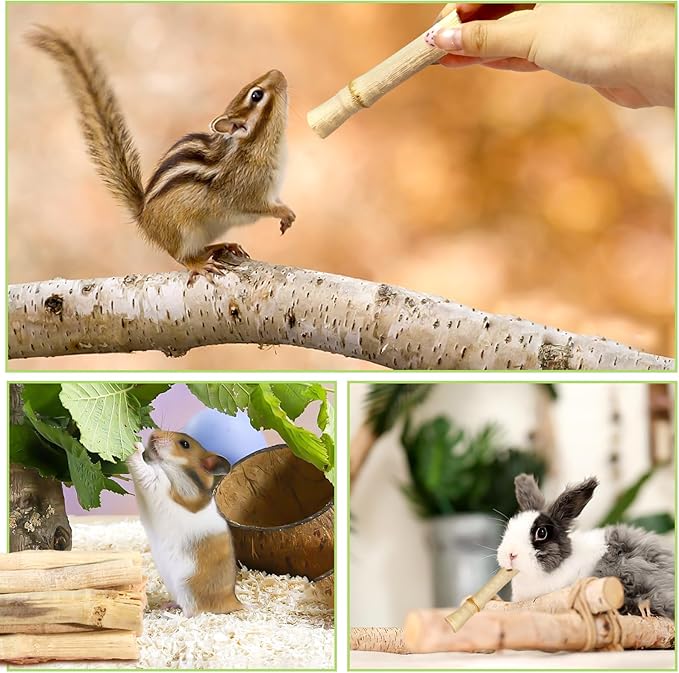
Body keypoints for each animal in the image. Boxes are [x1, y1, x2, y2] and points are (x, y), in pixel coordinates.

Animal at [126, 430, 243, 616]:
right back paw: (167, 605)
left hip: (187, 590)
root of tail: (234, 602)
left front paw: (136, 445)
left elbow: (145, 470)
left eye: (185, 444)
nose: (153, 434)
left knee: (193, 611)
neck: (173, 471)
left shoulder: (158, 483)